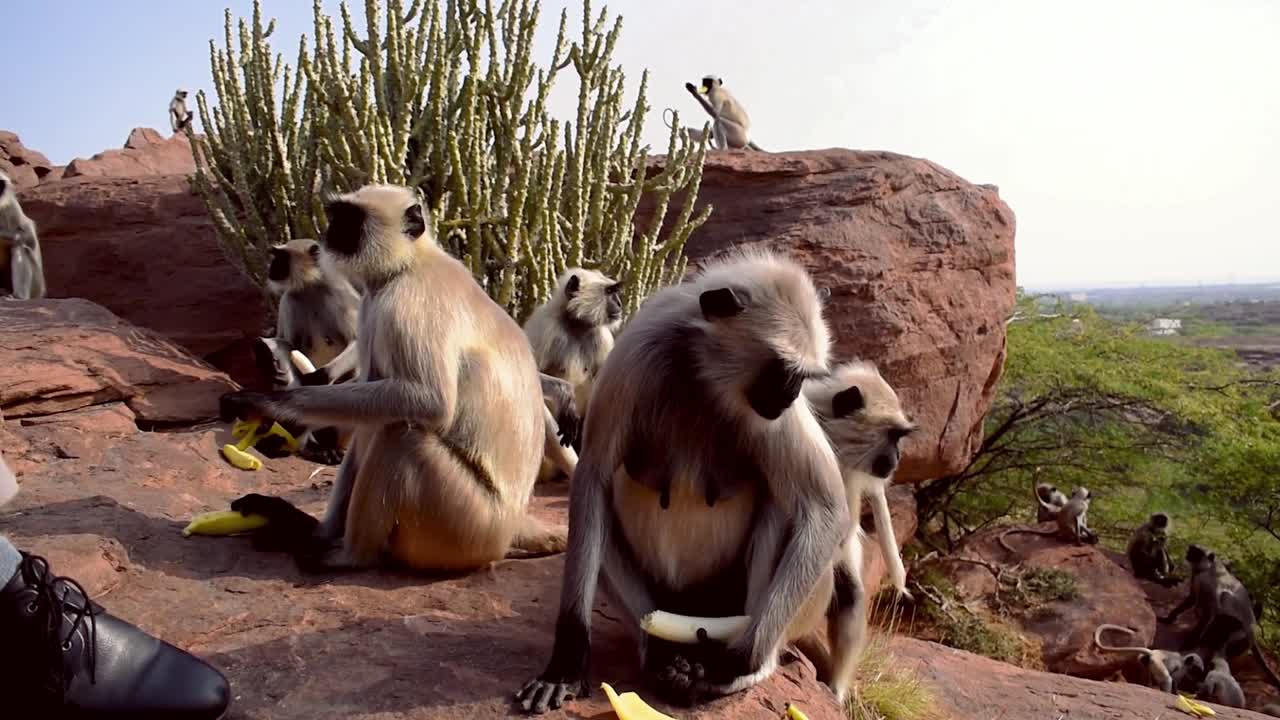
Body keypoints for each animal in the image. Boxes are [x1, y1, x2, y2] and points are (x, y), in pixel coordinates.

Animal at [218, 183, 568, 572]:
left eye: (351, 219)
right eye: (339, 215)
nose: (331, 231)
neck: (410, 264)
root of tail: (510, 529)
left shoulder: (409, 305)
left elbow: (428, 401)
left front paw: (268, 405)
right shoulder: (374, 305)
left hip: (466, 522)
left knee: (401, 433)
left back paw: (347, 557)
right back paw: (312, 531)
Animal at [514, 249, 850, 714]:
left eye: (800, 376)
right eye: (781, 371)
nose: (789, 396)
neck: (703, 372)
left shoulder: (766, 411)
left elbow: (825, 507)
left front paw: (732, 664)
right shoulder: (636, 352)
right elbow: (592, 478)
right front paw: (566, 661)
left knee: (785, 506)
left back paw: (732, 670)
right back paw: (659, 654)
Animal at [1161, 544, 1280, 688]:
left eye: (1197, 552)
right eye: (1192, 549)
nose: (1189, 553)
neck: (1209, 567)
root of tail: (1252, 633)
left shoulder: (1207, 582)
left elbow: (1211, 610)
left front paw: (1190, 641)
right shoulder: (1196, 578)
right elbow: (1192, 599)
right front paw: (1169, 619)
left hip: (1237, 632)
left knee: (1224, 599)